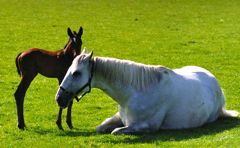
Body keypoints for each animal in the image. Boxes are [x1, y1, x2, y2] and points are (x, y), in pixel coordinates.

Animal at [55, 48, 238, 134]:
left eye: (76, 73)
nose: (59, 98)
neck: (135, 94)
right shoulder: (119, 117)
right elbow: (101, 127)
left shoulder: (145, 126)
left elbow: (115, 131)